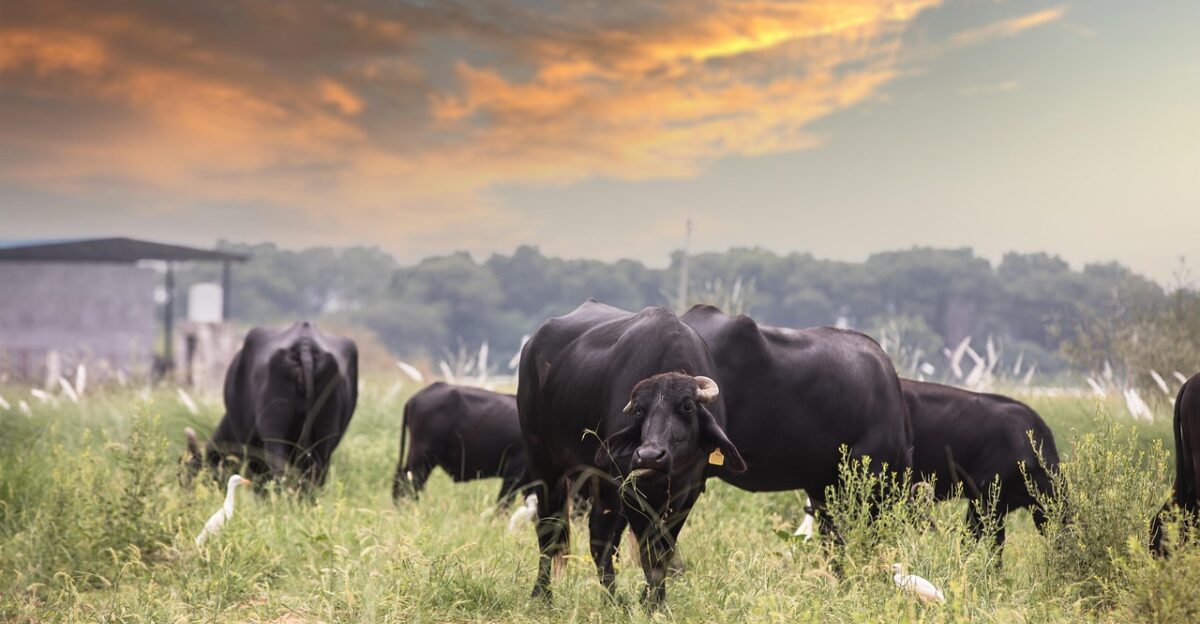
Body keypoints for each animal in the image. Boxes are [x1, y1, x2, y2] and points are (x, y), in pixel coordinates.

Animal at [518, 300, 745, 606]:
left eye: (687, 406)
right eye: (639, 410)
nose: (649, 455)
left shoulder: (689, 490)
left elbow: (663, 549)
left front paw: (653, 600)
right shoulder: (631, 490)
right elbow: (649, 550)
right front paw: (651, 603)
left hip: (599, 481)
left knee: (600, 535)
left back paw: (611, 598)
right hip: (544, 462)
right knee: (550, 529)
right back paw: (542, 595)